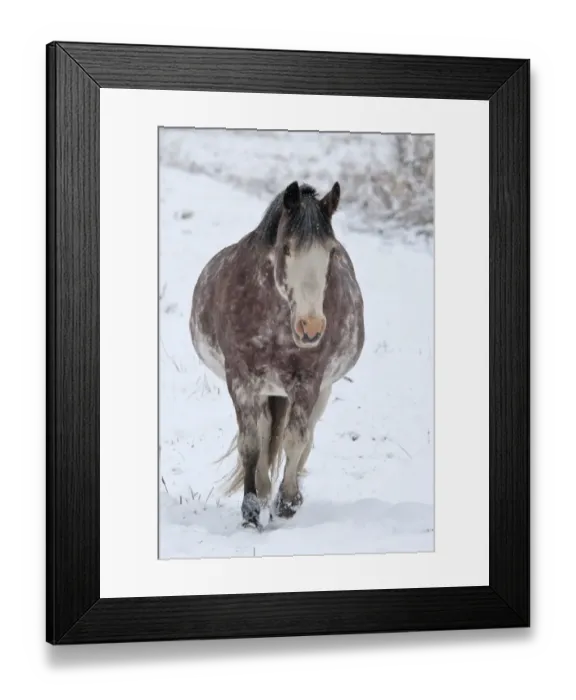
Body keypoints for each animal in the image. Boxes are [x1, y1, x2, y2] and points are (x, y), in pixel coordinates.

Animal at [189, 180, 365, 531]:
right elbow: (251, 443)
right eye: (286, 249)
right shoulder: (241, 380)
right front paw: (252, 508)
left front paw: (287, 501)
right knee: (264, 433)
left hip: (320, 391)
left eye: (331, 251)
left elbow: (295, 439)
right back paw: (263, 492)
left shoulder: (309, 382)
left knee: (302, 436)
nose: (311, 328)